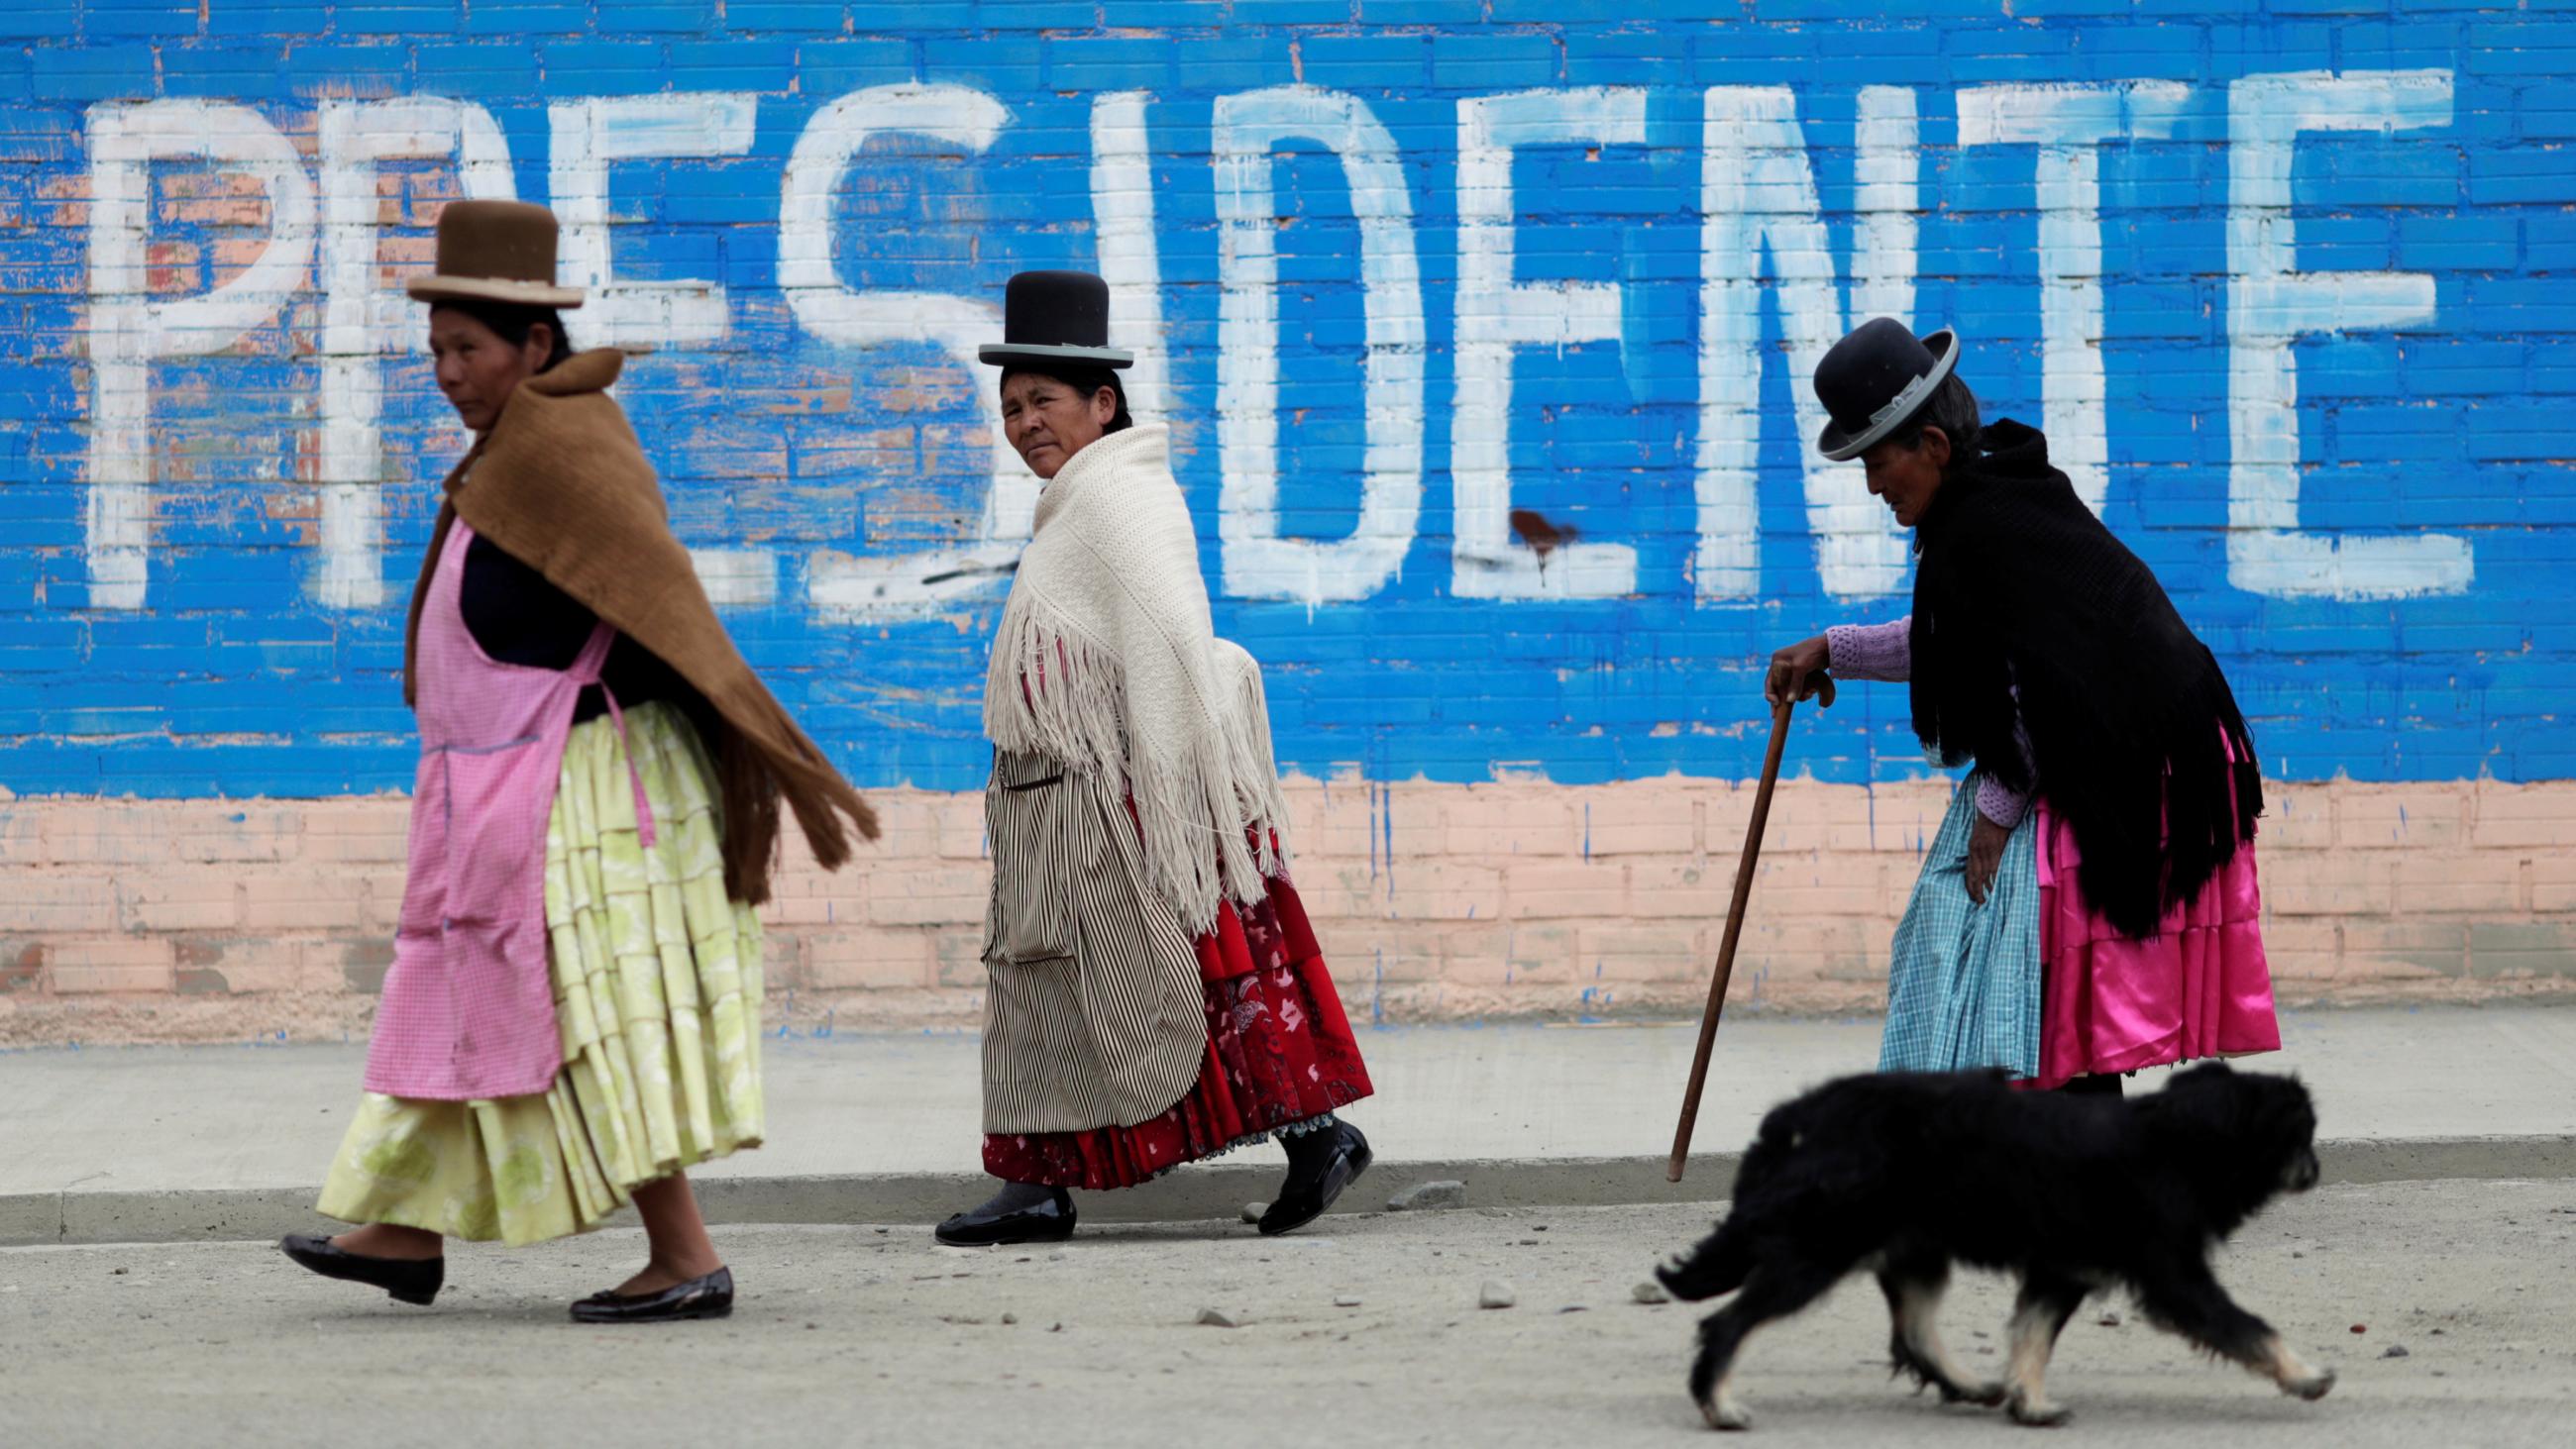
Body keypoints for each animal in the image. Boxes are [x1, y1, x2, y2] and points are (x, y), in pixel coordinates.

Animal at [1659, 1065, 2349, 1430]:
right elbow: (2248, 1326)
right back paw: (1720, 1407)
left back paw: (1974, 1386)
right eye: (2302, 1135)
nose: (2317, 1170)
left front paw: (2029, 1402)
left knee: (1915, 1334)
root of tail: (1806, 1113)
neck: (2180, 1138)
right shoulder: (2172, 1275)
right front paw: (2306, 1376)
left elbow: (2032, 1334)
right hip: (1820, 1246)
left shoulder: (2060, 1270)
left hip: (1913, 1248)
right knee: (1729, 1323)